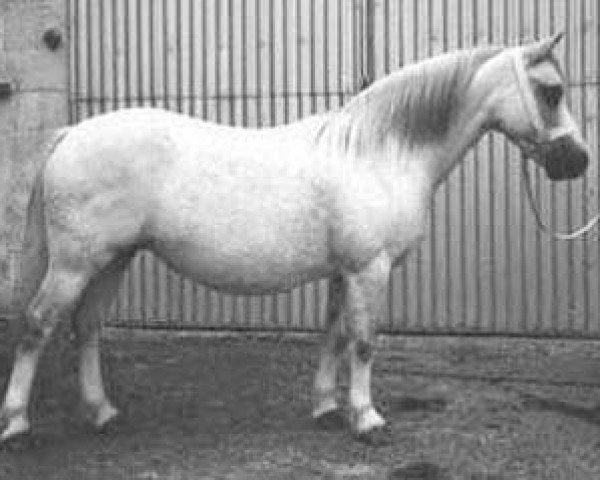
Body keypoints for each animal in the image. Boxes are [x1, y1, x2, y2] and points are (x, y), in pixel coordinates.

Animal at [0, 34, 592, 446]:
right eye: (551, 91)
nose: (579, 161)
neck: (380, 153)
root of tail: (70, 134)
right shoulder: (370, 269)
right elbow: (364, 341)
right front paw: (367, 420)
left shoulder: (343, 271)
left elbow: (333, 336)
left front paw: (327, 408)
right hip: (75, 263)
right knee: (37, 325)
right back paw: (17, 423)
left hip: (113, 259)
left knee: (86, 327)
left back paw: (102, 413)